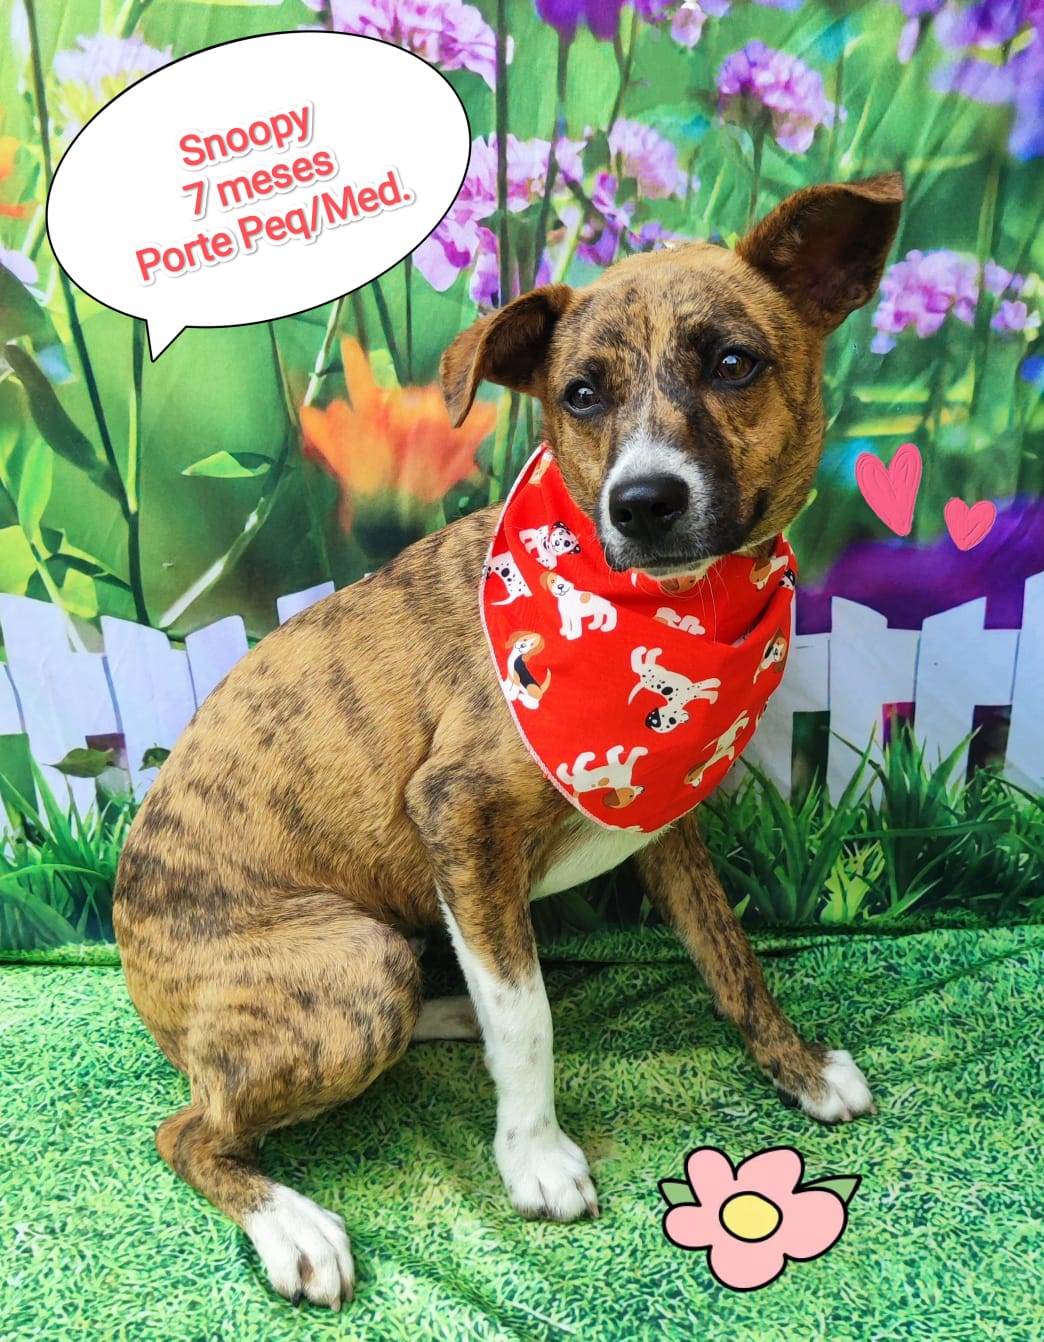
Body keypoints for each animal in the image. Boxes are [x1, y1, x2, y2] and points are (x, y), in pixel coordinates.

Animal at [114, 174, 901, 1309]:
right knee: (188, 1129)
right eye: (579, 394)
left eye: (733, 363)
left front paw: (793, 1066)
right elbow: (528, 1018)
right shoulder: (460, 813)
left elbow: (730, 957)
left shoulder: (661, 819)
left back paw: (446, 1014)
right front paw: (535, 1157)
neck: (670, 613)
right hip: (349, 971)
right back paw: (291, 1224)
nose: (643, 502)